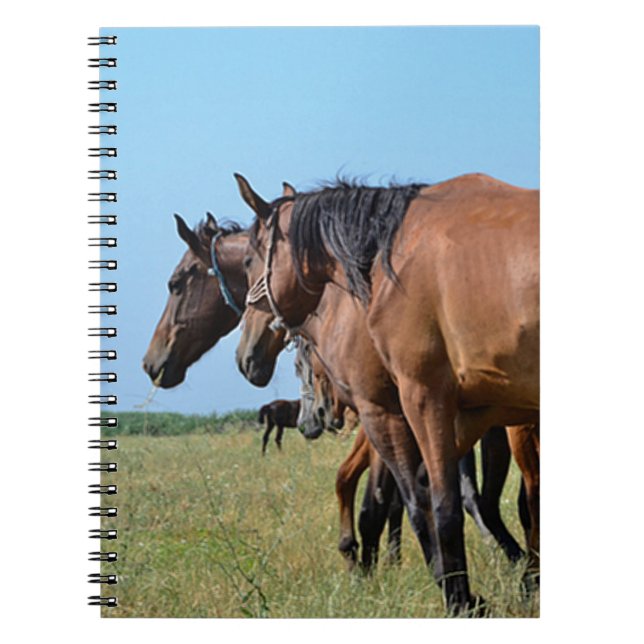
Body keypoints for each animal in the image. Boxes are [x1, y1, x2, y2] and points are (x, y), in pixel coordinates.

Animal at [234, 173, 539, 613]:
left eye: (247, 260)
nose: (246, 355)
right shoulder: (471, 415)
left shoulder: (408, 405)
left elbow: (427, 505)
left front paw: (460, 599)